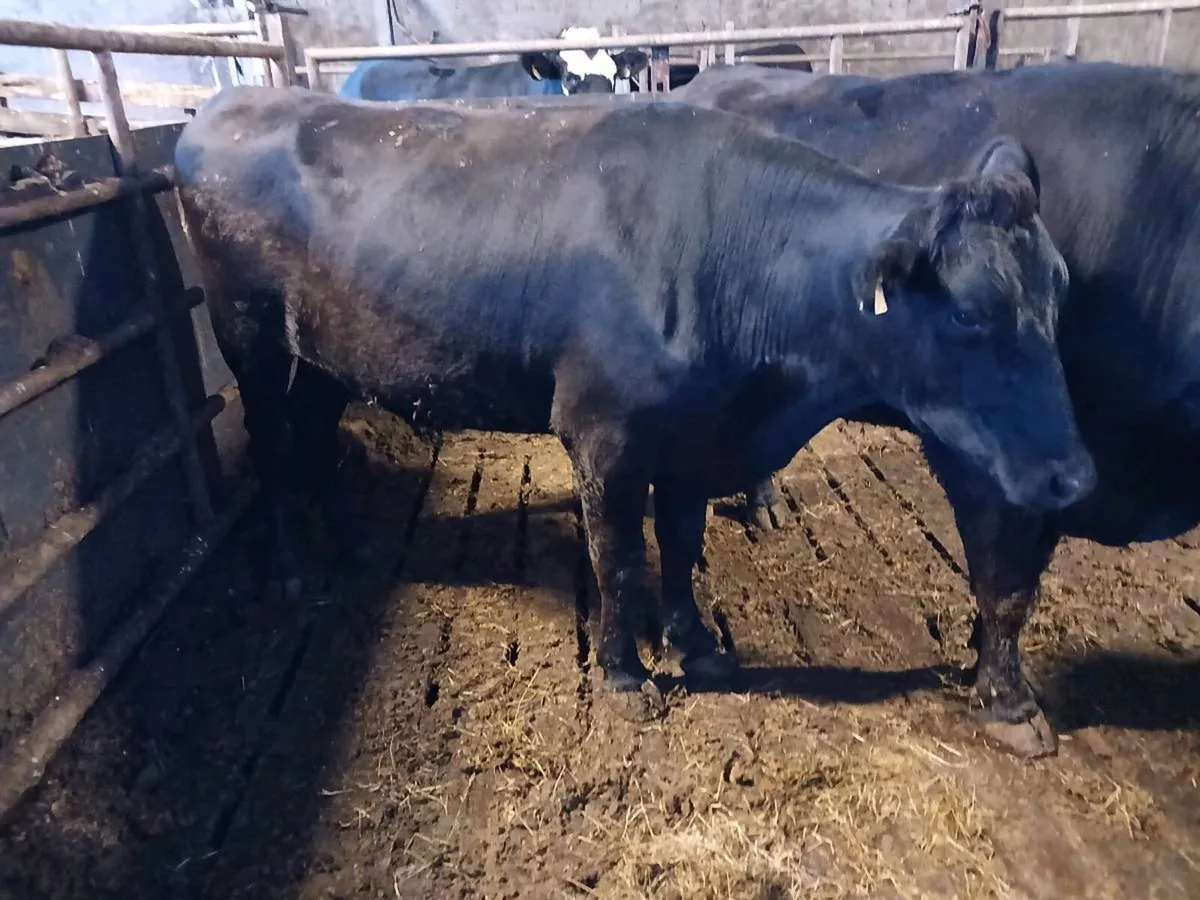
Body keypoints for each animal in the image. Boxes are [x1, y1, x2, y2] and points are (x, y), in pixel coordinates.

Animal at [174, 84, 1093, 723]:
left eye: (1059, 294)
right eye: (969, 313)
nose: (1075, 478)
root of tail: (224, 106)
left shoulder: (692, 436)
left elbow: (680, 545)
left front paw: (693, 641)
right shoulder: (603, 434)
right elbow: (617, 556)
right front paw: (623, 674)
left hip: (326, 357)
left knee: (315, 436)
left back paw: (358, 545)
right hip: (250, 338)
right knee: (274, 446)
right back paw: (292, 567)